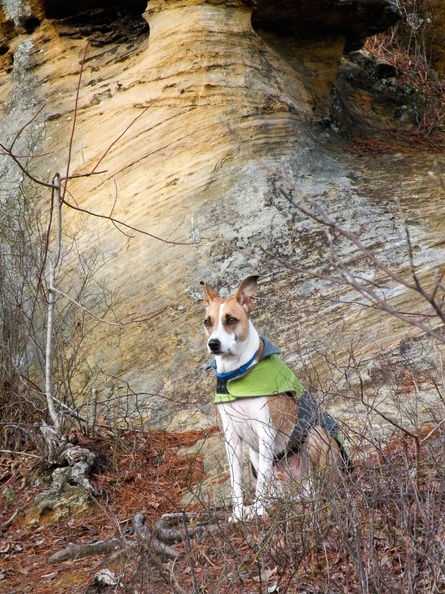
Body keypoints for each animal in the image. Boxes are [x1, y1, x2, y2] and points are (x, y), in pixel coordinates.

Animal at [201, 272, 346, 520]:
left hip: (316, 437)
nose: (214, 344)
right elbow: (236, 481)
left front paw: (259, 509)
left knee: (321, 488)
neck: (238, 375)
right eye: (208, 322)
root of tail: (297, 492)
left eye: (231, 320)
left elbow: (260, 481)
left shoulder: (265, 430)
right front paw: (239, 514)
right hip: (255, 455)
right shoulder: (231, 438)